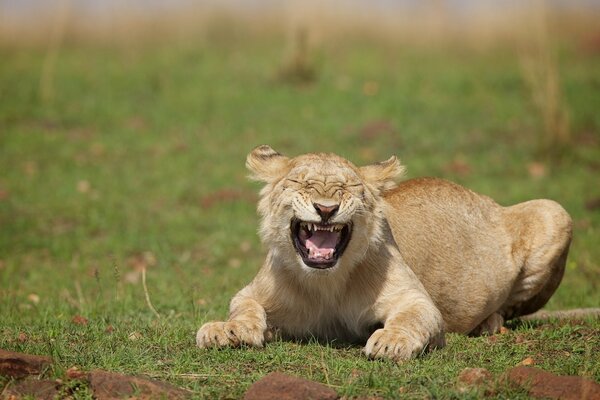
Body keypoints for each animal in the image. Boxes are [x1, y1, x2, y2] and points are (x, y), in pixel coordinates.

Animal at [196, 145, 572, 360]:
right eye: (301, 184)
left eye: (348, 188)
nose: (326, 209)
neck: (326, 283)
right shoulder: (254, 292)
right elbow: (243, 308)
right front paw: (225, 331)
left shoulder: (415, 299)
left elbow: (411, 318)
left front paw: (390, 341)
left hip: (555, 212)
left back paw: (488, 323)